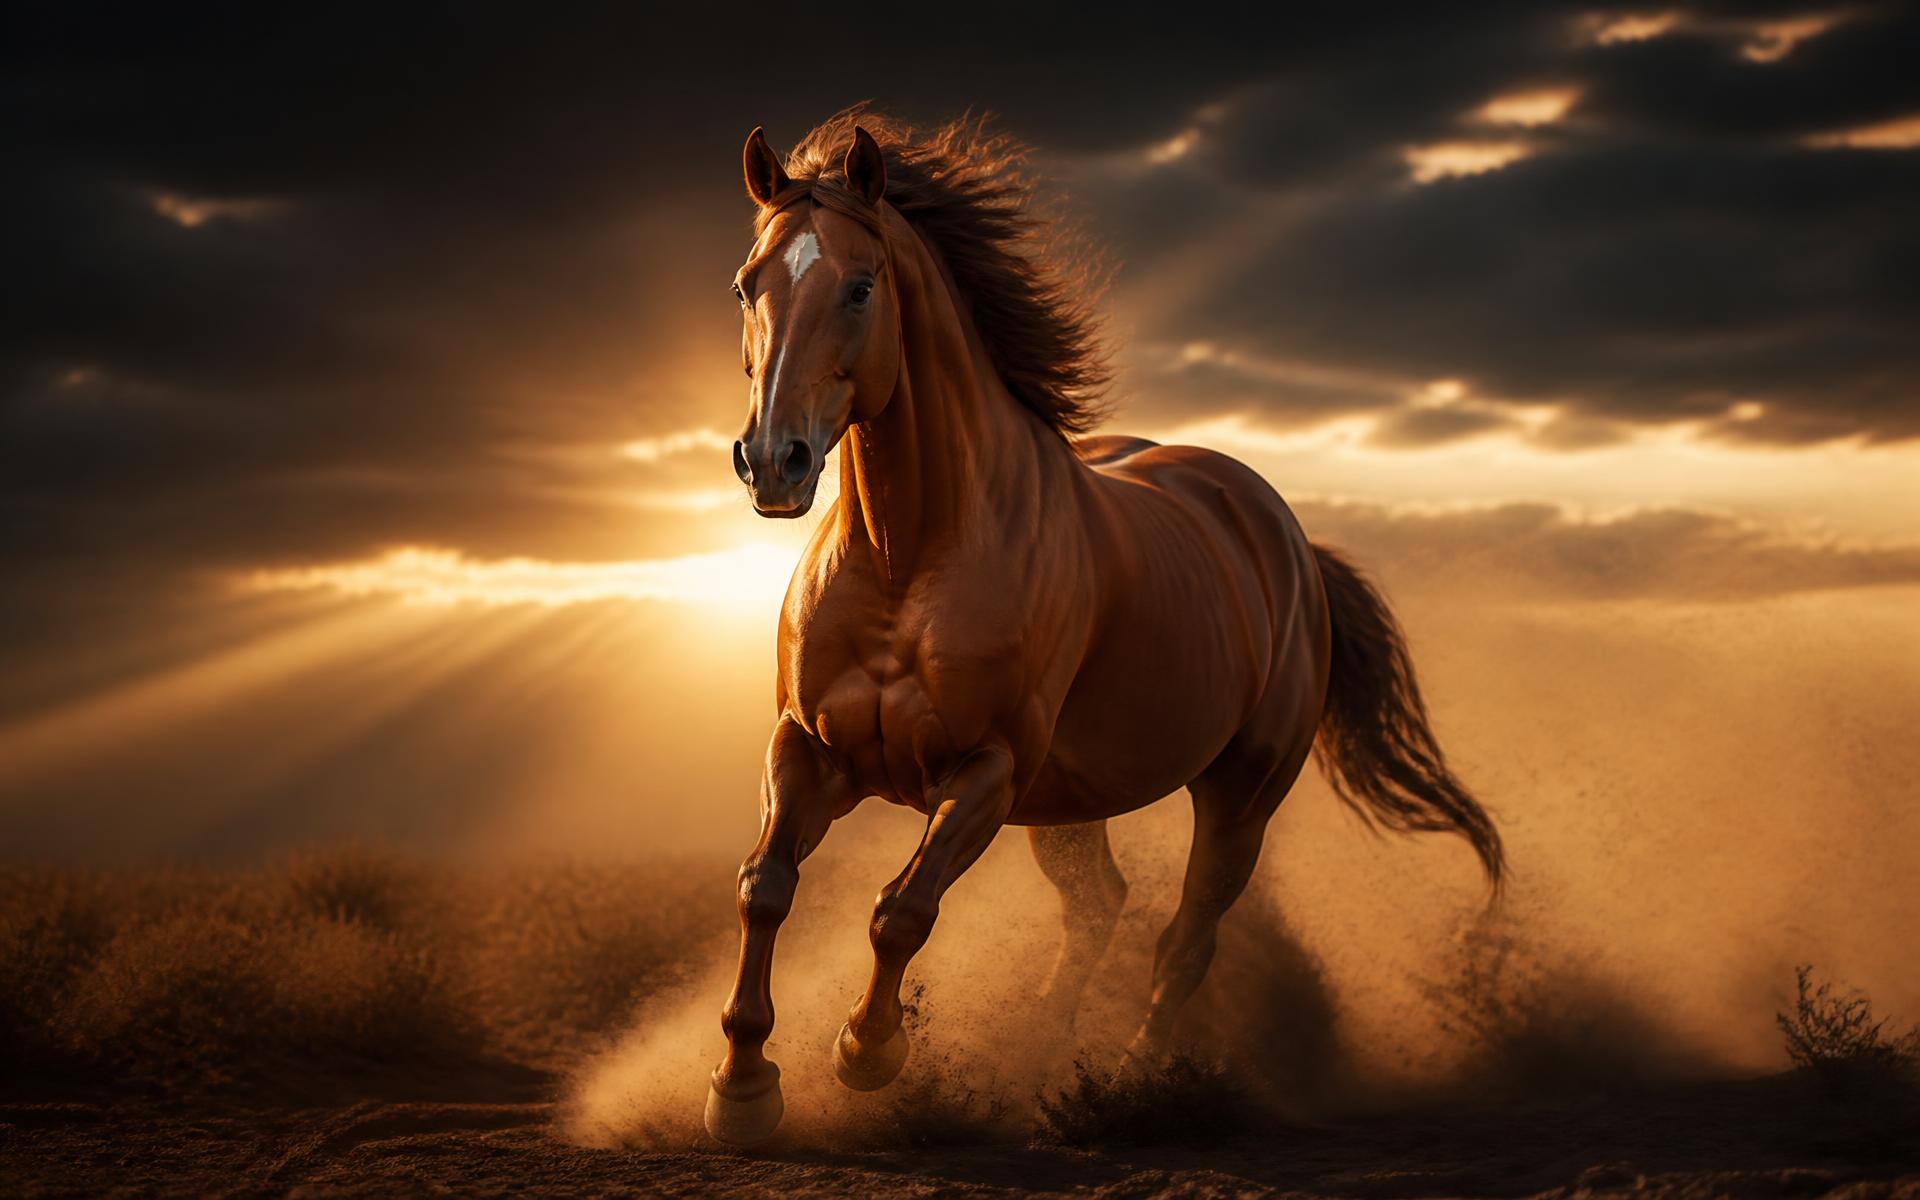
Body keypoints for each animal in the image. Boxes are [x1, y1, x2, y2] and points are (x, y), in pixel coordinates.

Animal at [704, 109, 1503, 1145]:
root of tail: (1287, 539)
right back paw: (1043, 1064)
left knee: (1183, 941)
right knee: (1099, 911)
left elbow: (900, 910)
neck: (907, 559)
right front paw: (742, 1090)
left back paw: (1124, 1085)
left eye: (860, 284)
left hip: (1239, 796)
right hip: (1072, 806)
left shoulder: (986, 770)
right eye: (746, 284)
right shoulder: (809, 749)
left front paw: (867, 1052)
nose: (774, 462)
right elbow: (763, 887)